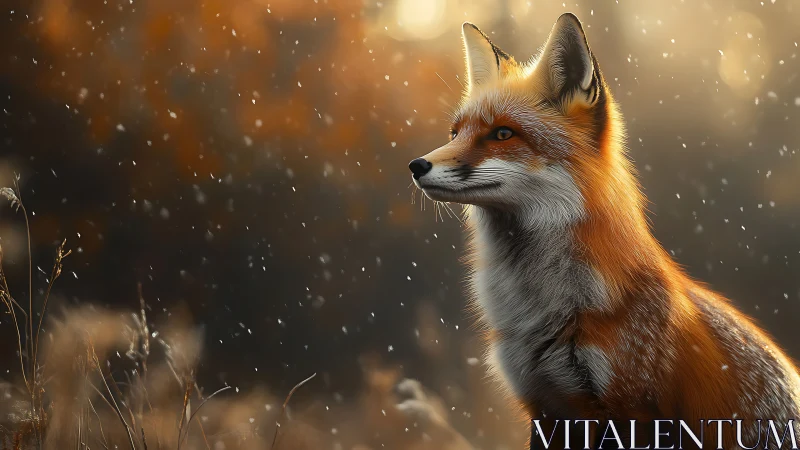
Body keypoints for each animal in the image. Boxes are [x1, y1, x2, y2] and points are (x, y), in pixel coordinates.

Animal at [408, 13, 800, 450]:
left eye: (503, 134)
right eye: (455, 132)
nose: (416, 165)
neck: (545, 310)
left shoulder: (631, 412)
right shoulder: (543, 405)